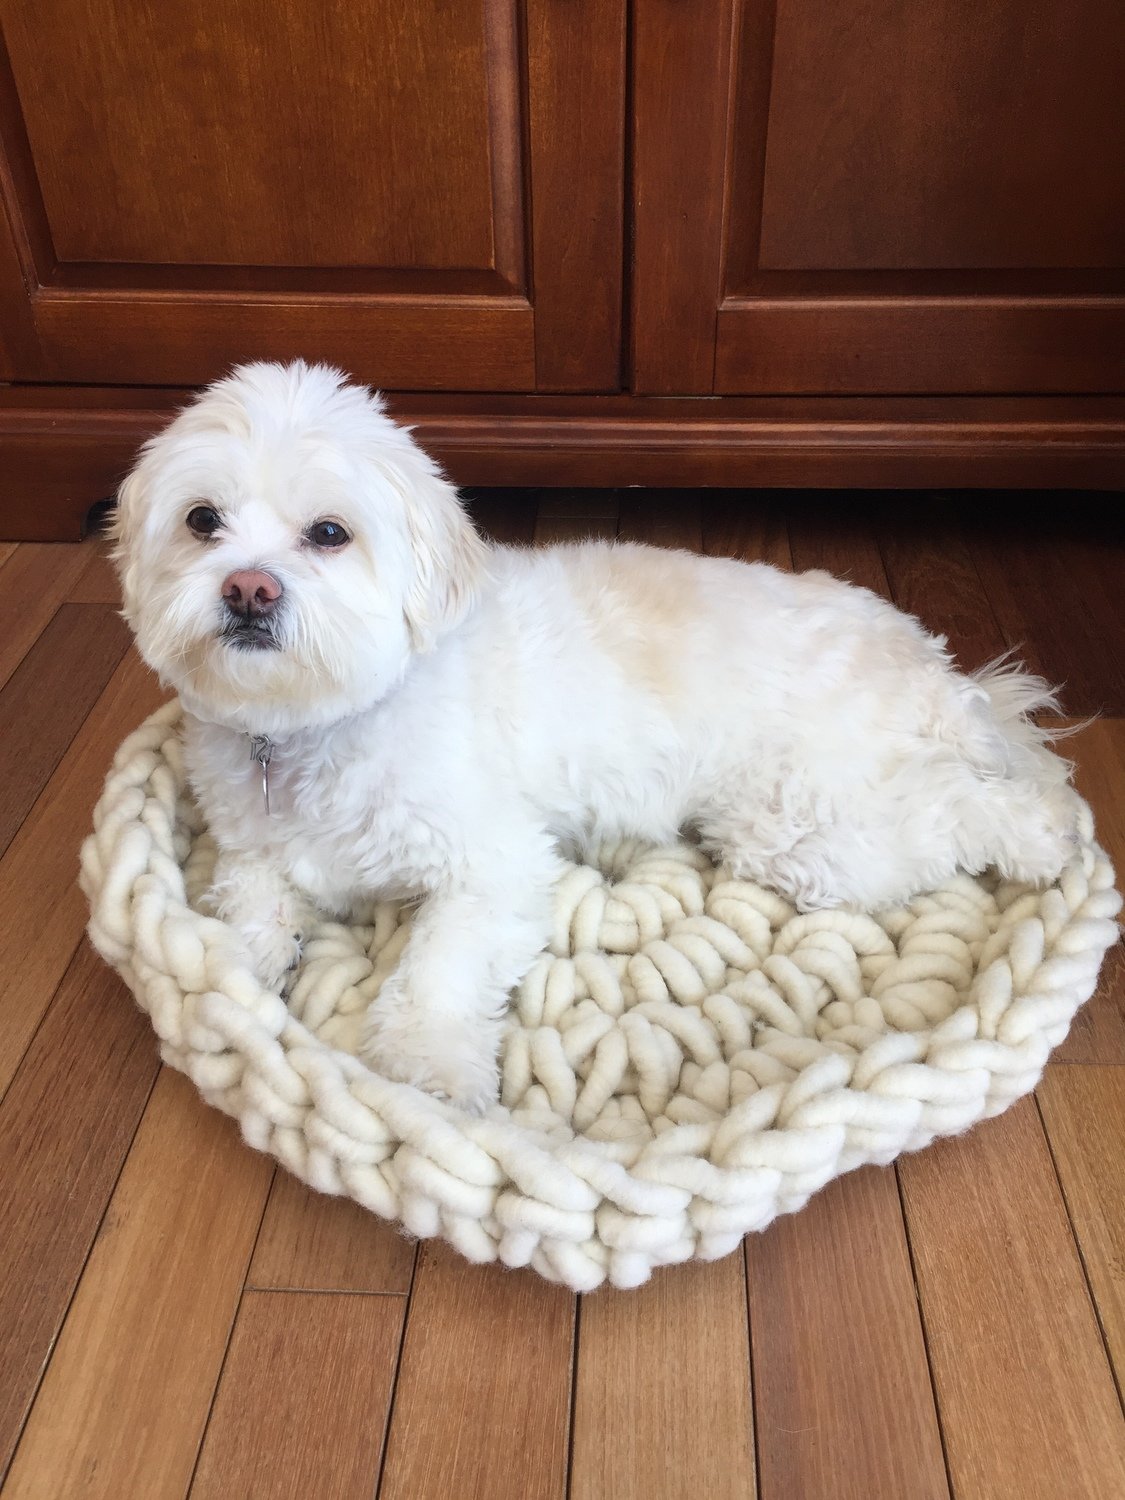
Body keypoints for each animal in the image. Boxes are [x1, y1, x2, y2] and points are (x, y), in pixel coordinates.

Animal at [114, 363, 1086, 1110]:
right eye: (203, 520)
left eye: (328, 533)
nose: (248, 588)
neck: (322, 723)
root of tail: (935, 669)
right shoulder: (252, 852)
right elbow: (248, 919)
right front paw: (225, 984)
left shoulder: (493, 866)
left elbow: (438, 968)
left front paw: (426, 1064)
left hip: (804, 821)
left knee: (960, 809)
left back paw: (1043, 836)